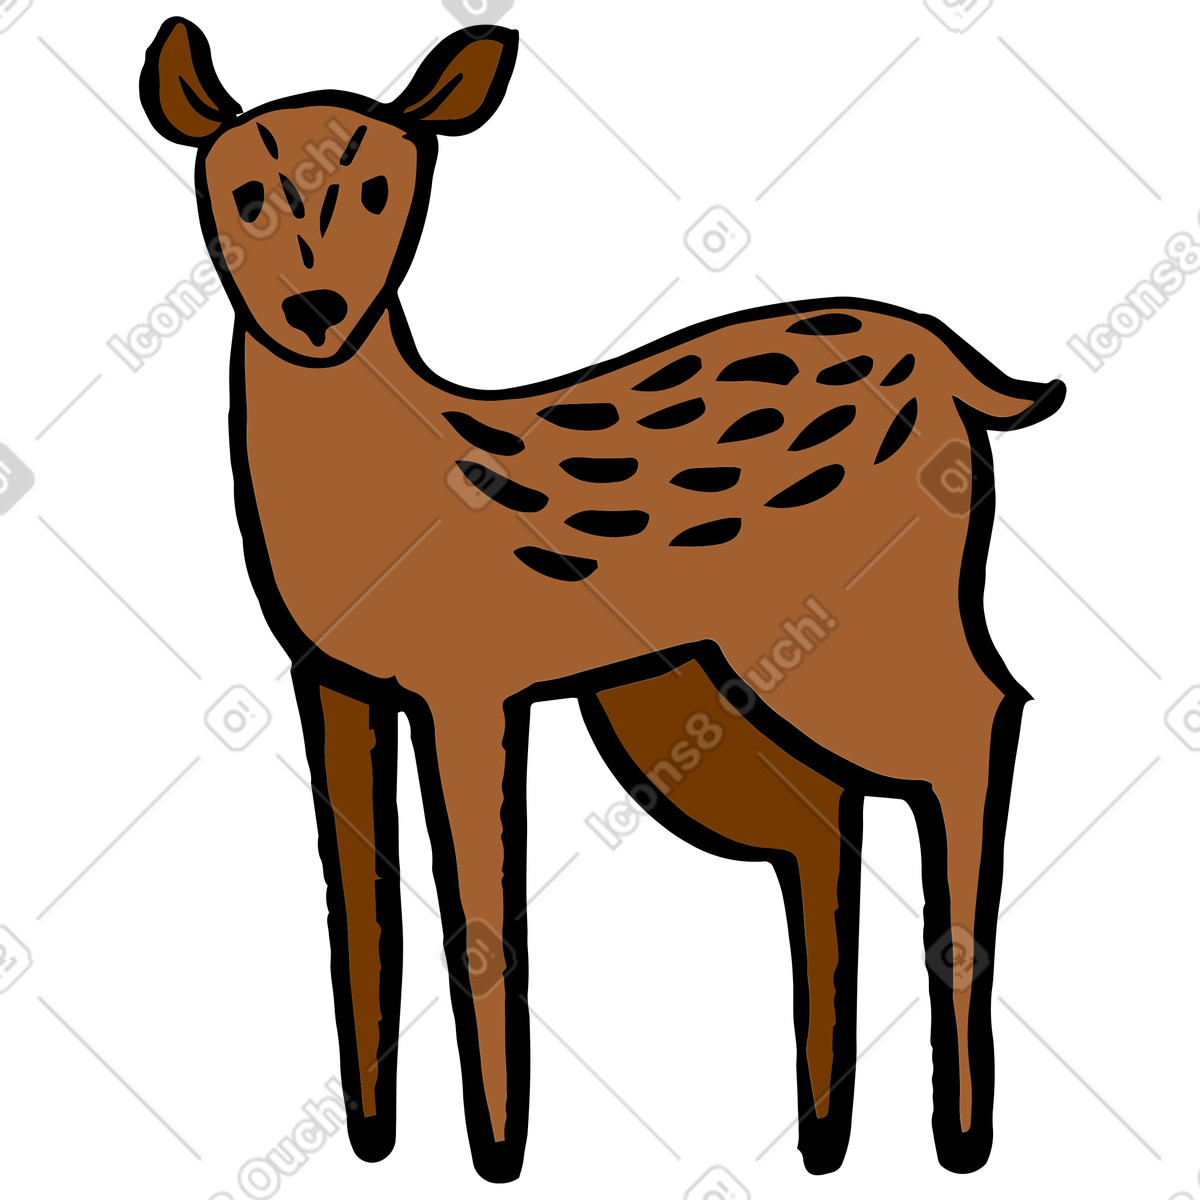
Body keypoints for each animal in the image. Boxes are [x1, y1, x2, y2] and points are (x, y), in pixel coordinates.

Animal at [140, 16, 1064, 1183]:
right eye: (245, 192)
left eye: (383, 187)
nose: (315, 310)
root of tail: (959, 367)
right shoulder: (332, 678)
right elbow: (355, 903)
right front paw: (369, 1139)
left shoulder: (472, 679)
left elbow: (481, 911)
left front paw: (497, 1150)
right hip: (729, 678)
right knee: (833, 820)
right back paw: (824, 1140)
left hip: (864, 619)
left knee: (974, 724)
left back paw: (962, 1131)